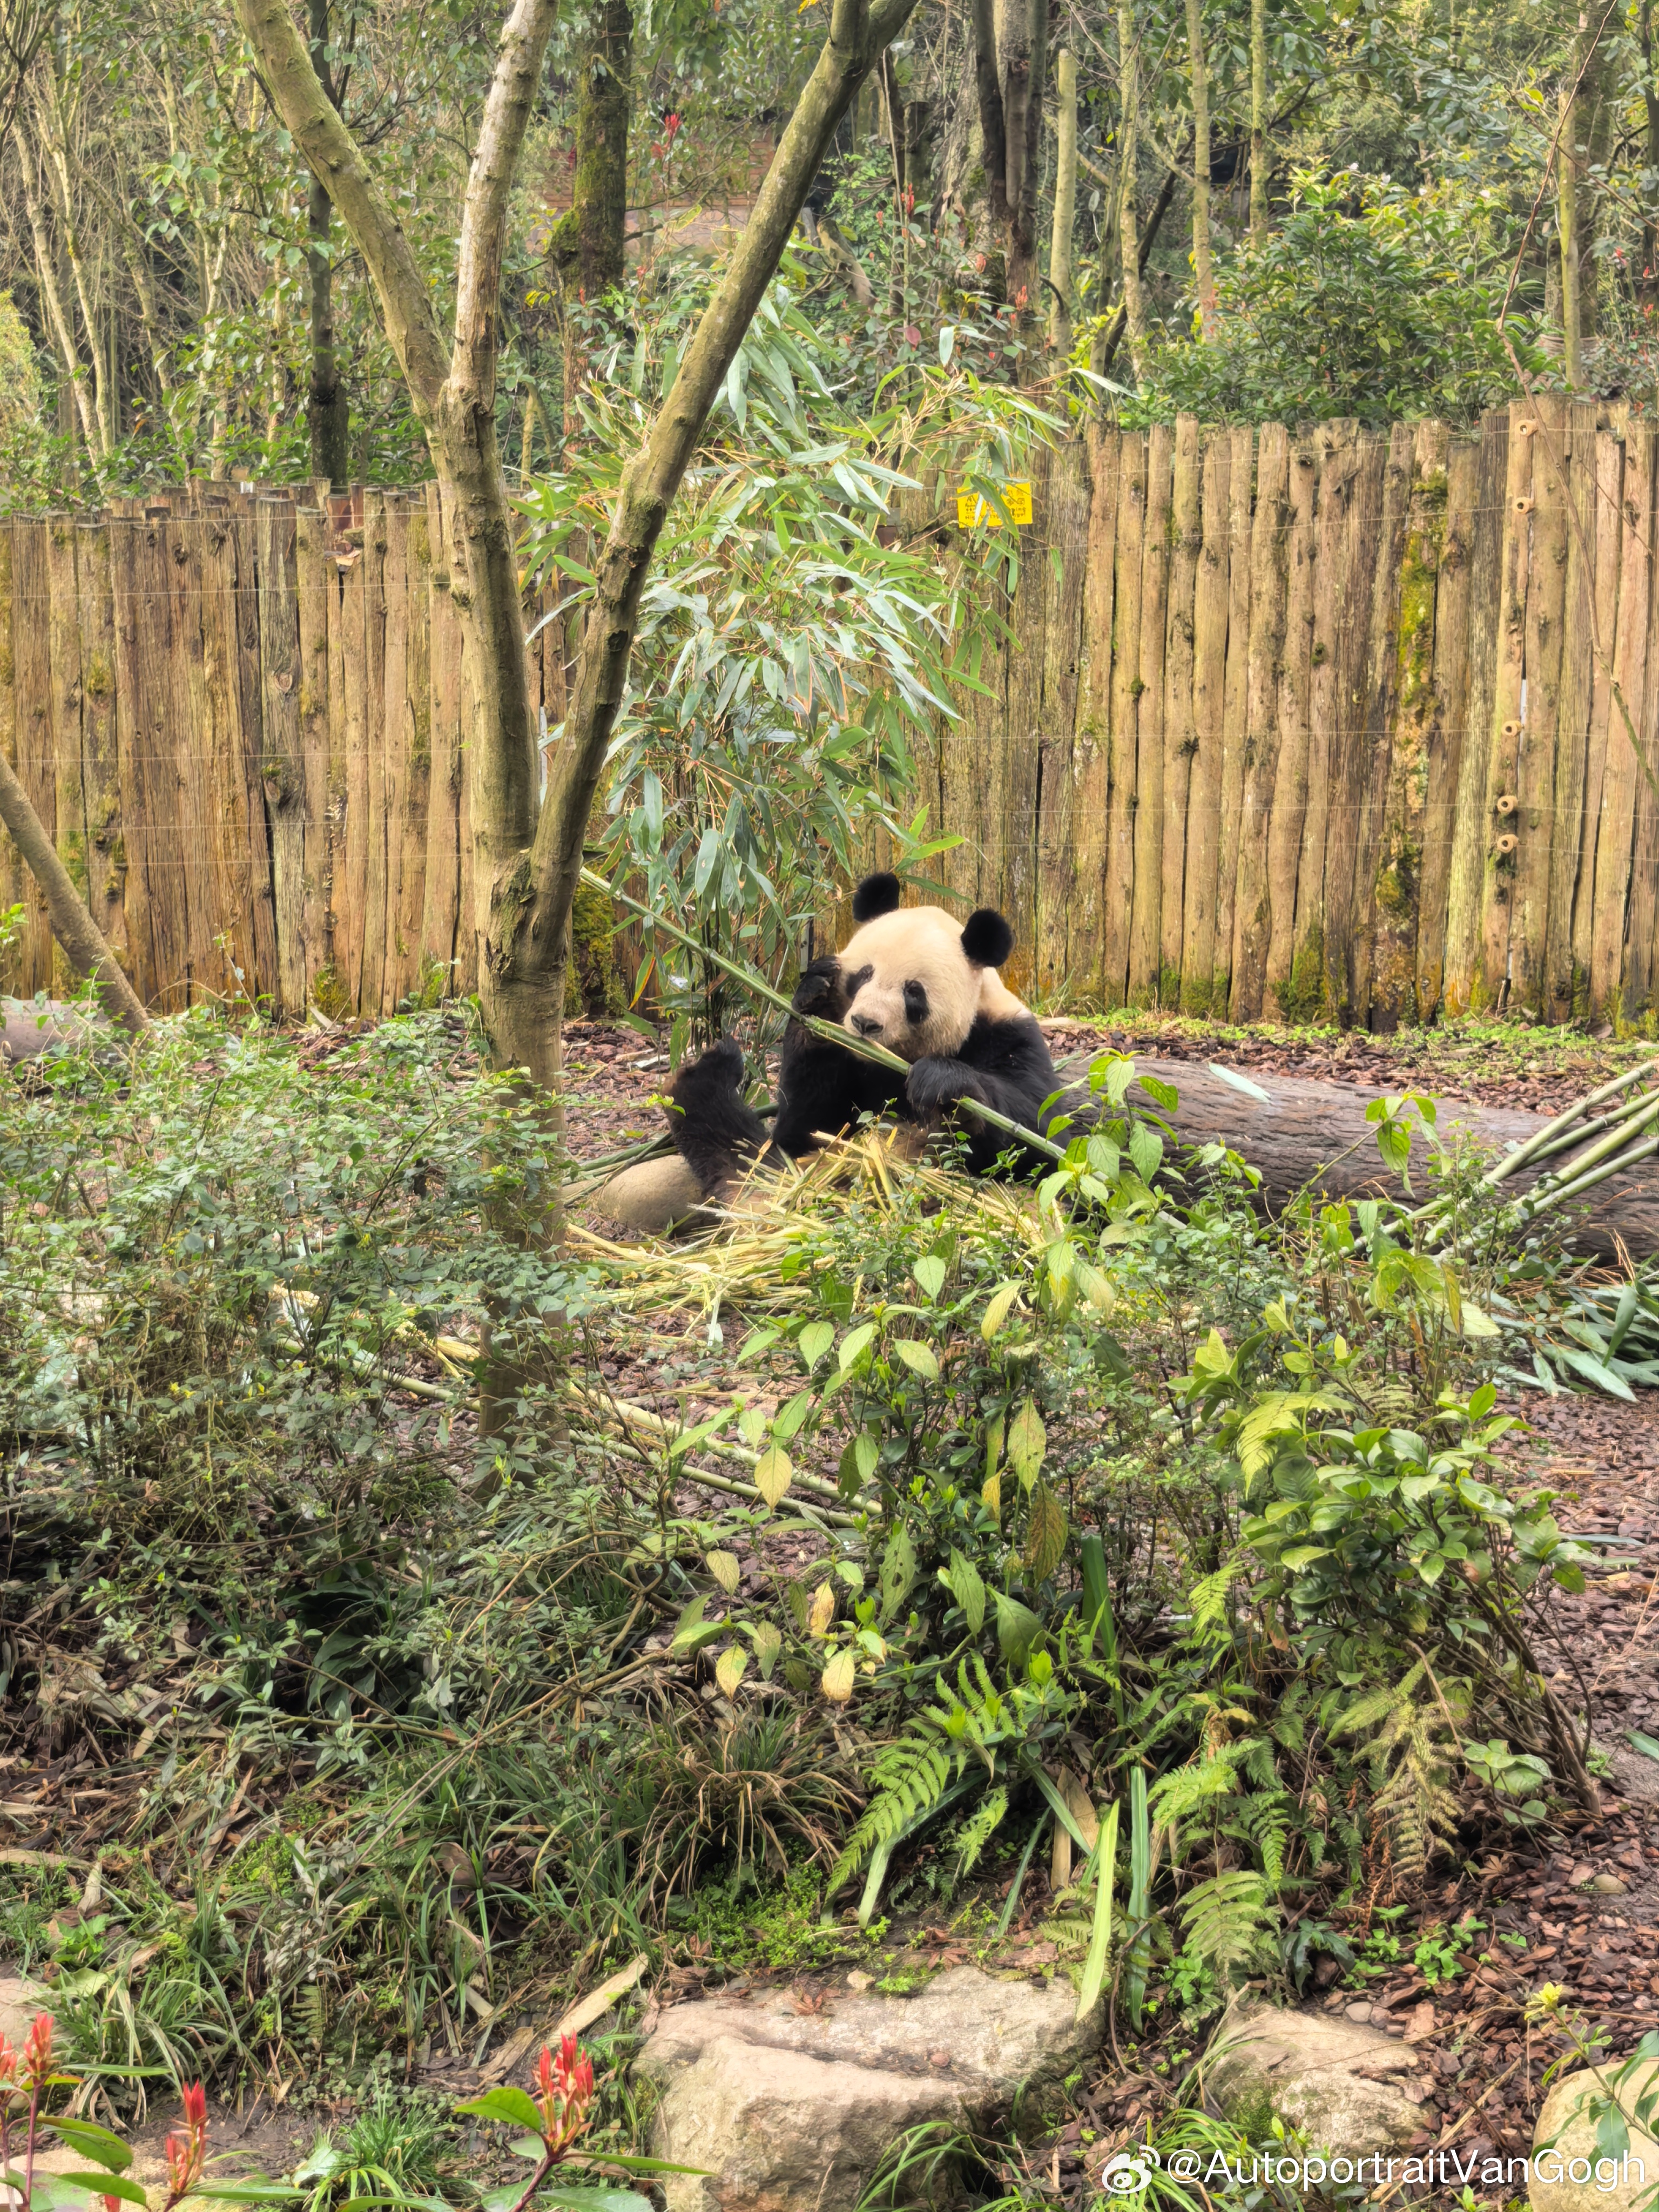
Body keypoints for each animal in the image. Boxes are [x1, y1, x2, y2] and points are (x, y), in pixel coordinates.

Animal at [655, 862, 1070, 1212]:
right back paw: (705, 1072)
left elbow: (1042, 1136)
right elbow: (805, 1131)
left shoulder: (1009, 1035)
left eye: (914, 993)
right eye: (864, 975)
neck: (885, 1066)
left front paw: (943, 1084)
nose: (865, 1023)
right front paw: (818, 998)